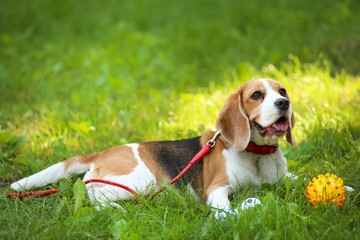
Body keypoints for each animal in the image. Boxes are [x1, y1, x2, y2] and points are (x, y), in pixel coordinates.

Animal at [11, 79, 298, 213]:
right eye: (257, 95)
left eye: (282, 91)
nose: (284, 103)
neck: (258, 154)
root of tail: (103, 152)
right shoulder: (216, 190)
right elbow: (228, 209)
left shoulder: (286, 176)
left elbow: (300, 178)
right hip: (143, 182)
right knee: (91, 191)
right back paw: (112, 208)